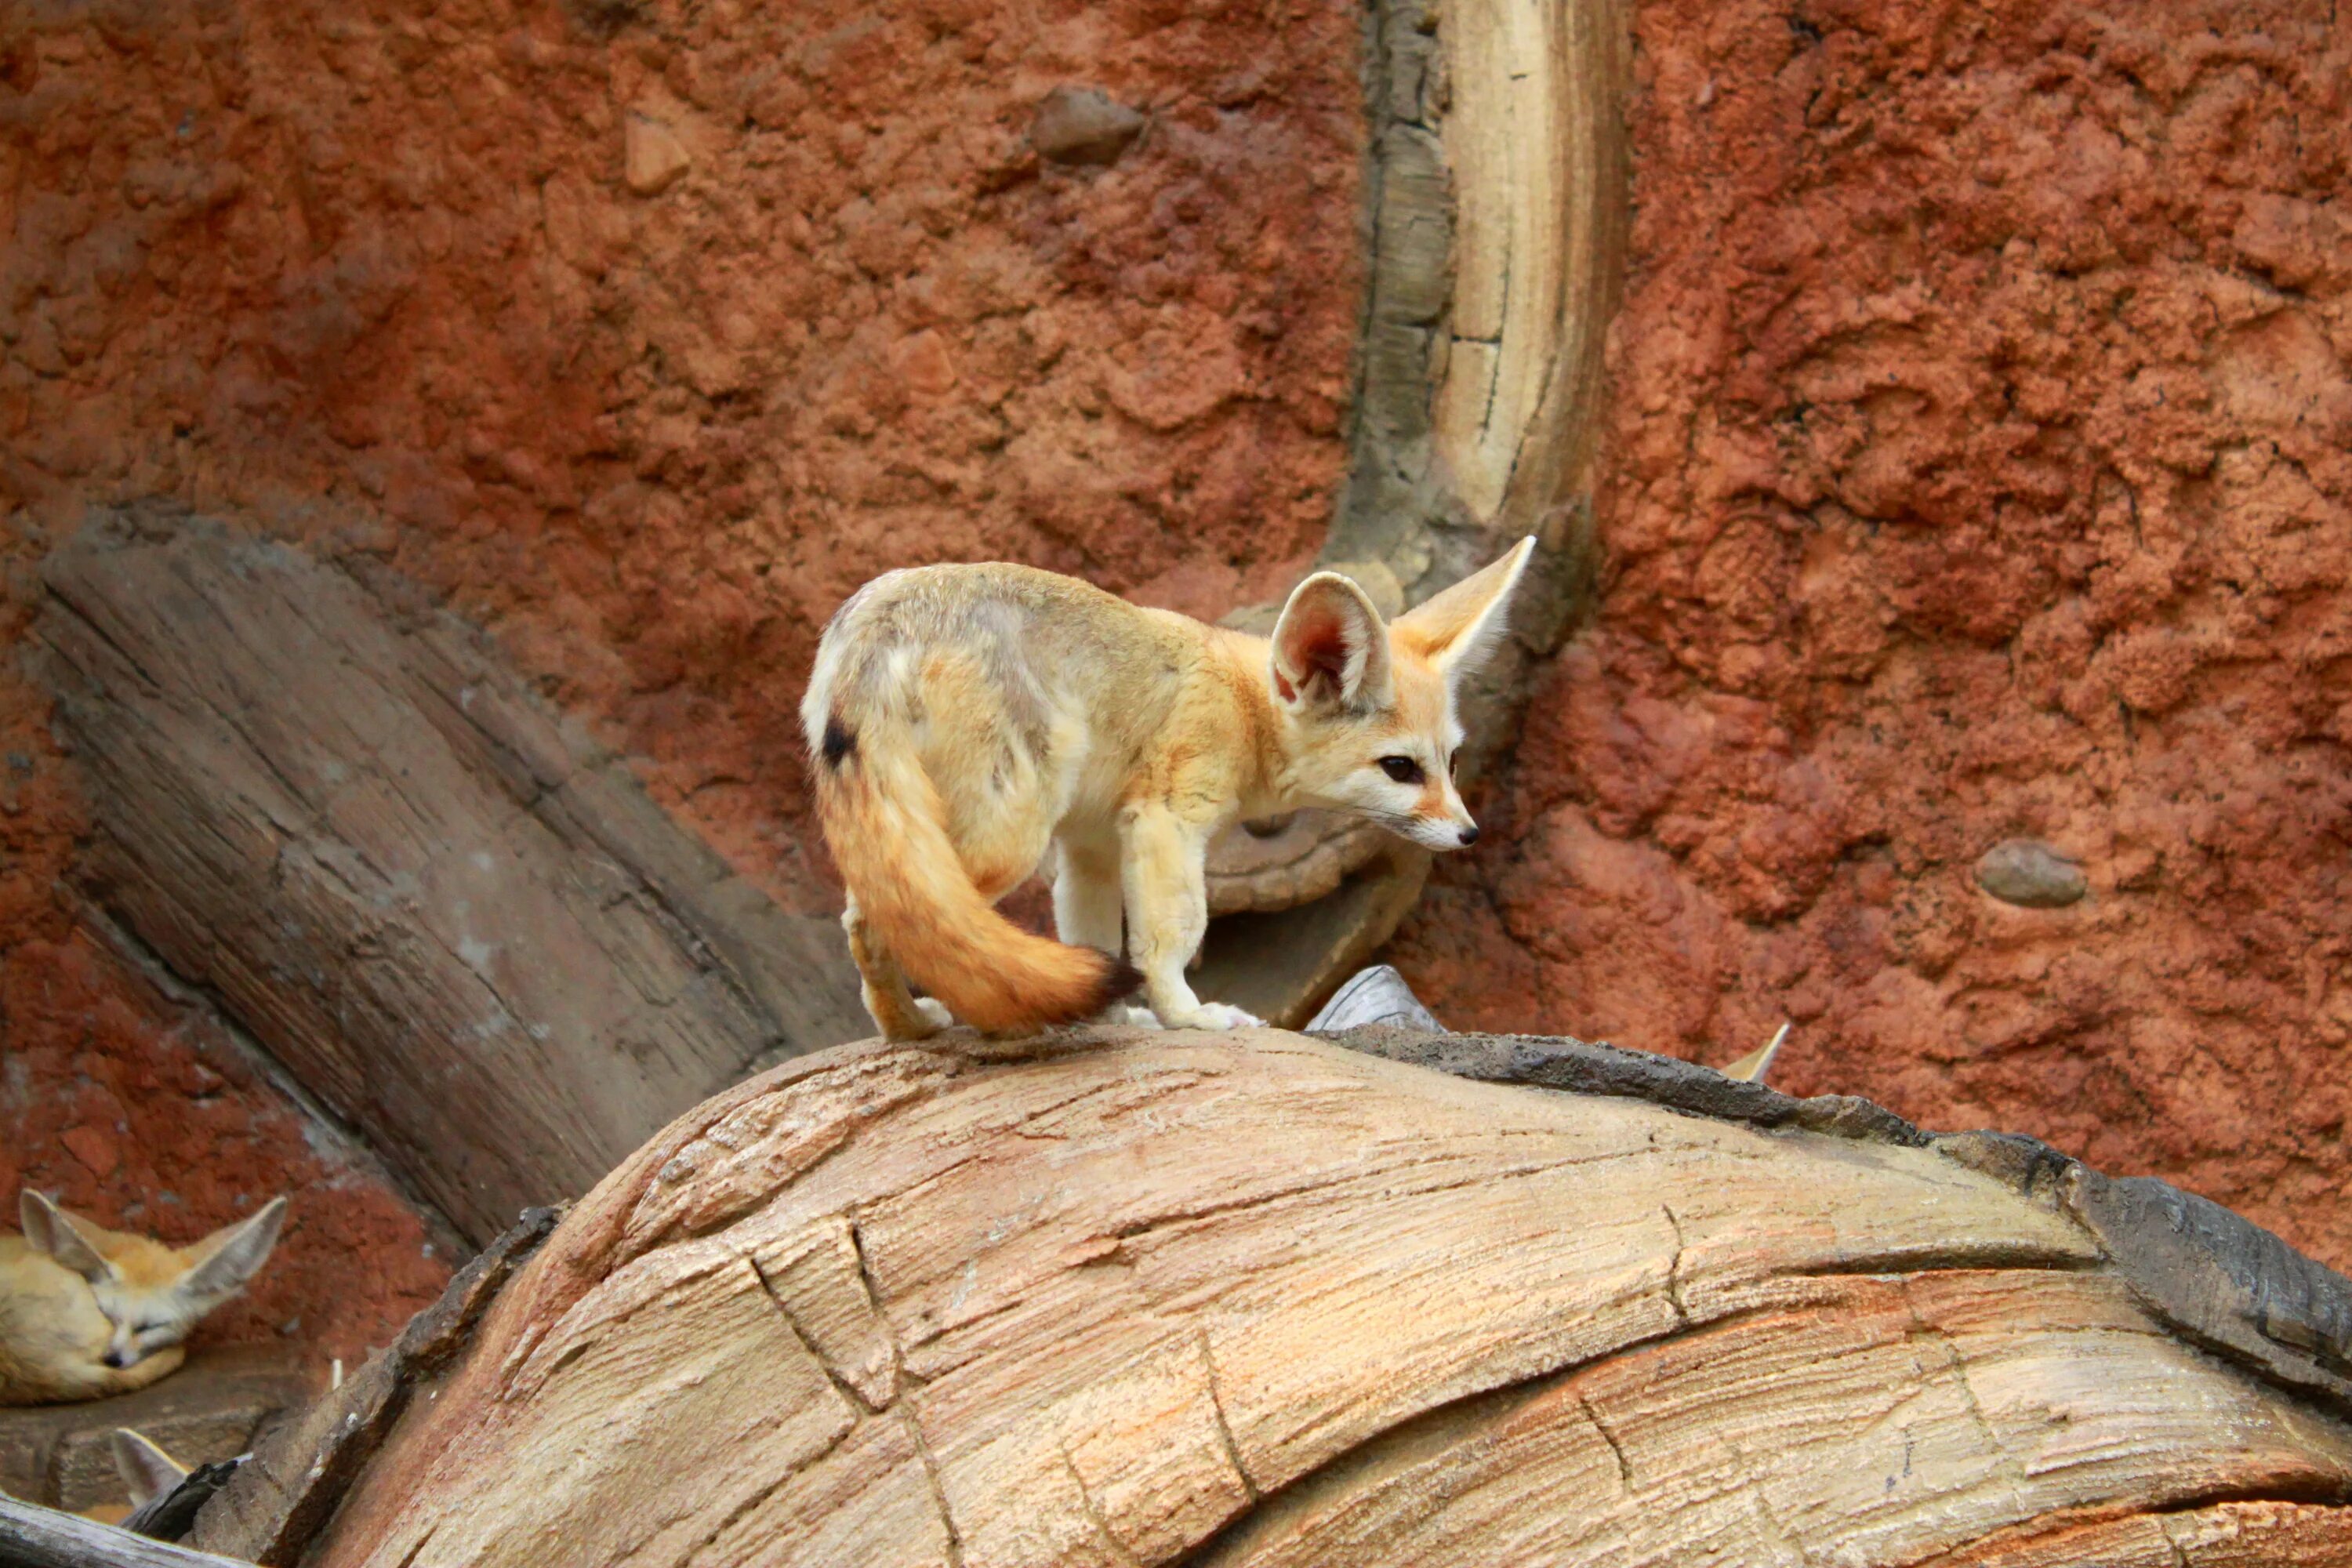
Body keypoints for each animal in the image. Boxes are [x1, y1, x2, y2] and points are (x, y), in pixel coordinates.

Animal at [804, 540, 1543, 1044]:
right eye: (1400, 769)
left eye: (1451, 761)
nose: (1470, 834)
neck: (1244, 704)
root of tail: (886, 616)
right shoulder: (1168, 822)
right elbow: (1170, 935)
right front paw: (1187, 1015)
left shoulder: (1092, 847)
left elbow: (1096, 940)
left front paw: (1114, 1017)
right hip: (1008, 839)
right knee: (876, 919)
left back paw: (908, 1026)